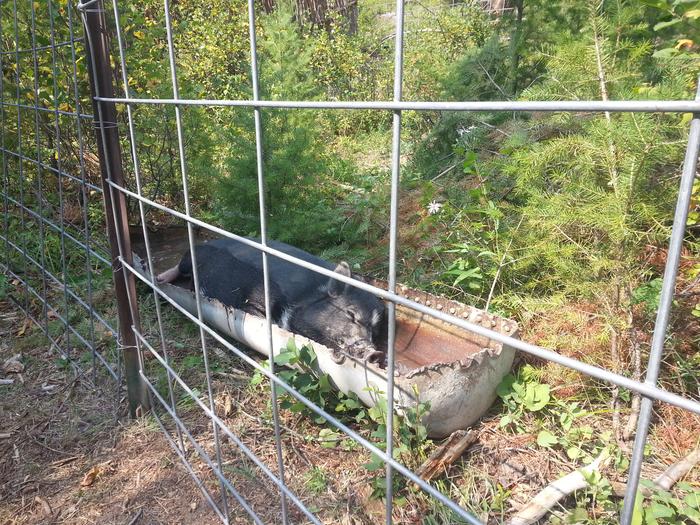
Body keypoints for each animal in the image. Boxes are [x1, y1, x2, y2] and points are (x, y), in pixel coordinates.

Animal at [157, 237, 388, 364]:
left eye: (376, 330)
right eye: (351, 314)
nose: (374, 352)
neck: (307, 297)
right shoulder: (253, 299)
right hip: (189, 260)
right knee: (179, 267)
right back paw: (160, 279)